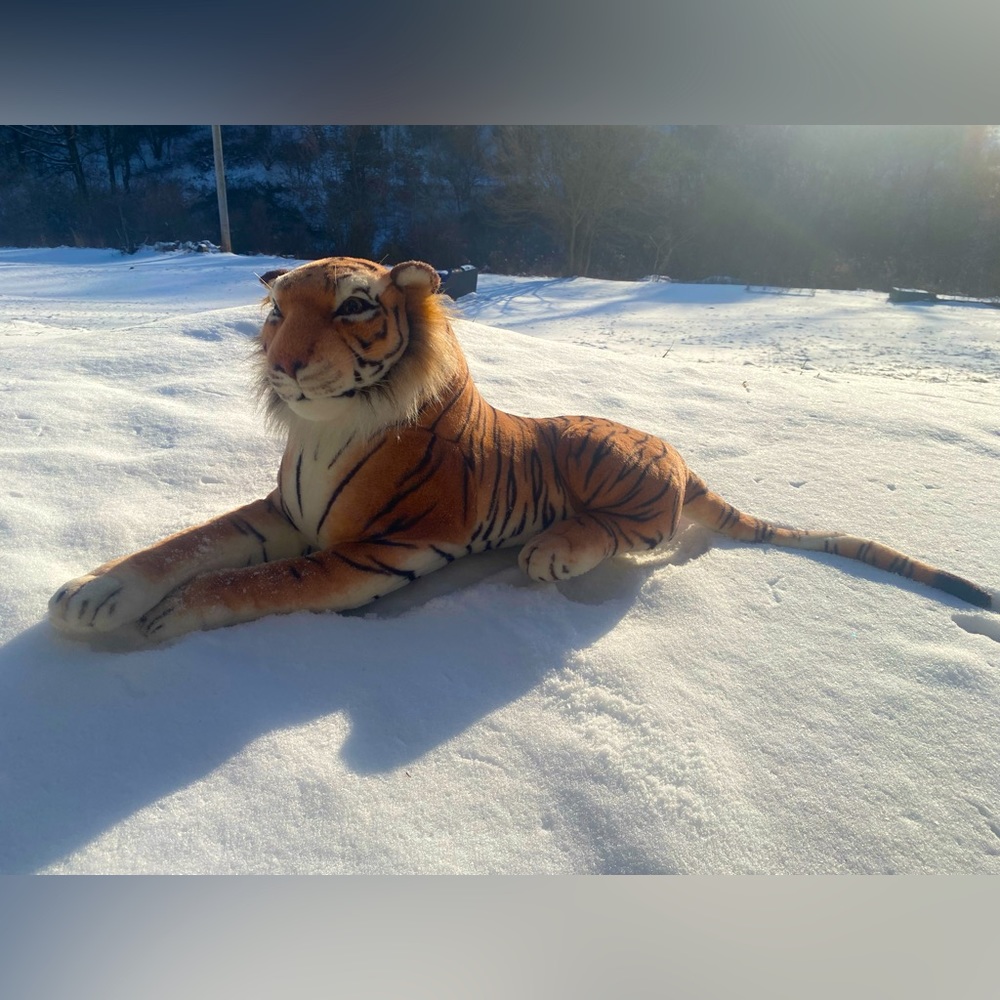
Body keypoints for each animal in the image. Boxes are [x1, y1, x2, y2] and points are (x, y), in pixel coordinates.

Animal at [48, 255, 997, 645]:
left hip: (602, 460)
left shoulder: (378, 551)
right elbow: (192, 543)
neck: (323, 430)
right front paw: (93, 596)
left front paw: (166, 619)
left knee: (633, 534)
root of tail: (682, 456)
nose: (281, 365)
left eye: (353, 306)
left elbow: (253, 580)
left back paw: (554, 550)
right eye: (278, 312)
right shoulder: (283, 509)